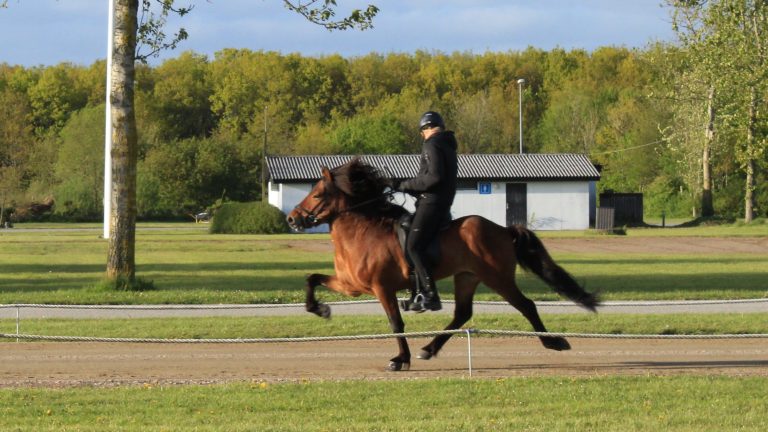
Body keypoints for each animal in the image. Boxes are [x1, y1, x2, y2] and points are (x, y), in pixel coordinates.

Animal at [284, 159, 596, 372]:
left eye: (317, 194)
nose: (292, 219)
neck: (362, 231)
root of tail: (502, 229)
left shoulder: (382, 288)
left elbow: (396, 322)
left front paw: (401, 359)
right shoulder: (350, 285)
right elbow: (311, 278)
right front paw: (320, 309)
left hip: (498, 278)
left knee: (526, 305)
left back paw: (553, 342)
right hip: (467, 277)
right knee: (463, 314)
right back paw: (428, 348)